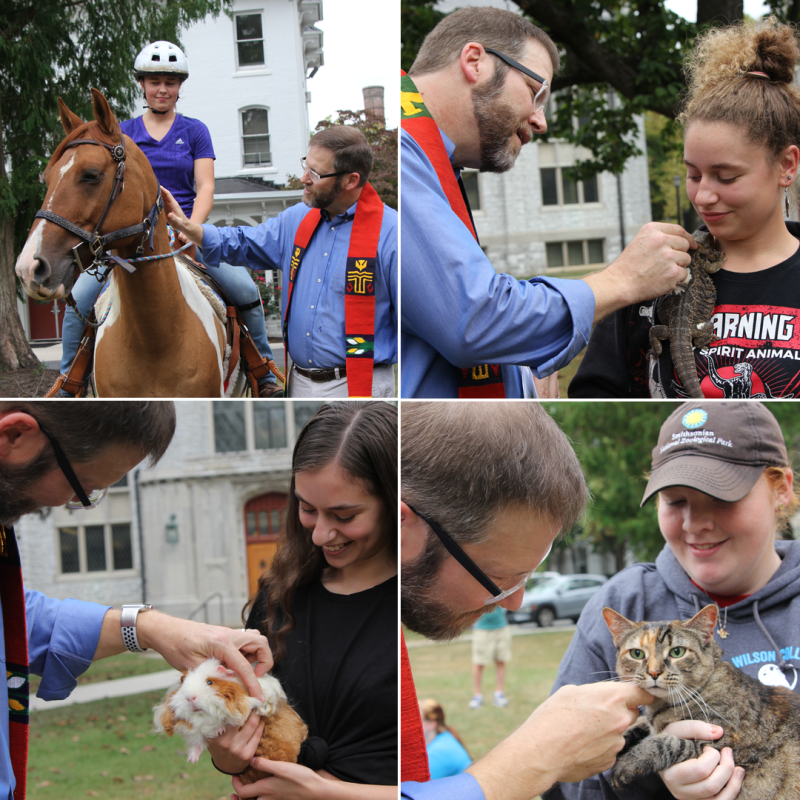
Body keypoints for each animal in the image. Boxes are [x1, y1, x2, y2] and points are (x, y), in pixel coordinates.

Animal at [604, 608, 800, 800]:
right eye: (636, 654)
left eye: (677, 652)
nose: (654, 672)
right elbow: (645, 723)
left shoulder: (724, 743)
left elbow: (665, 744)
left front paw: (628, 763)